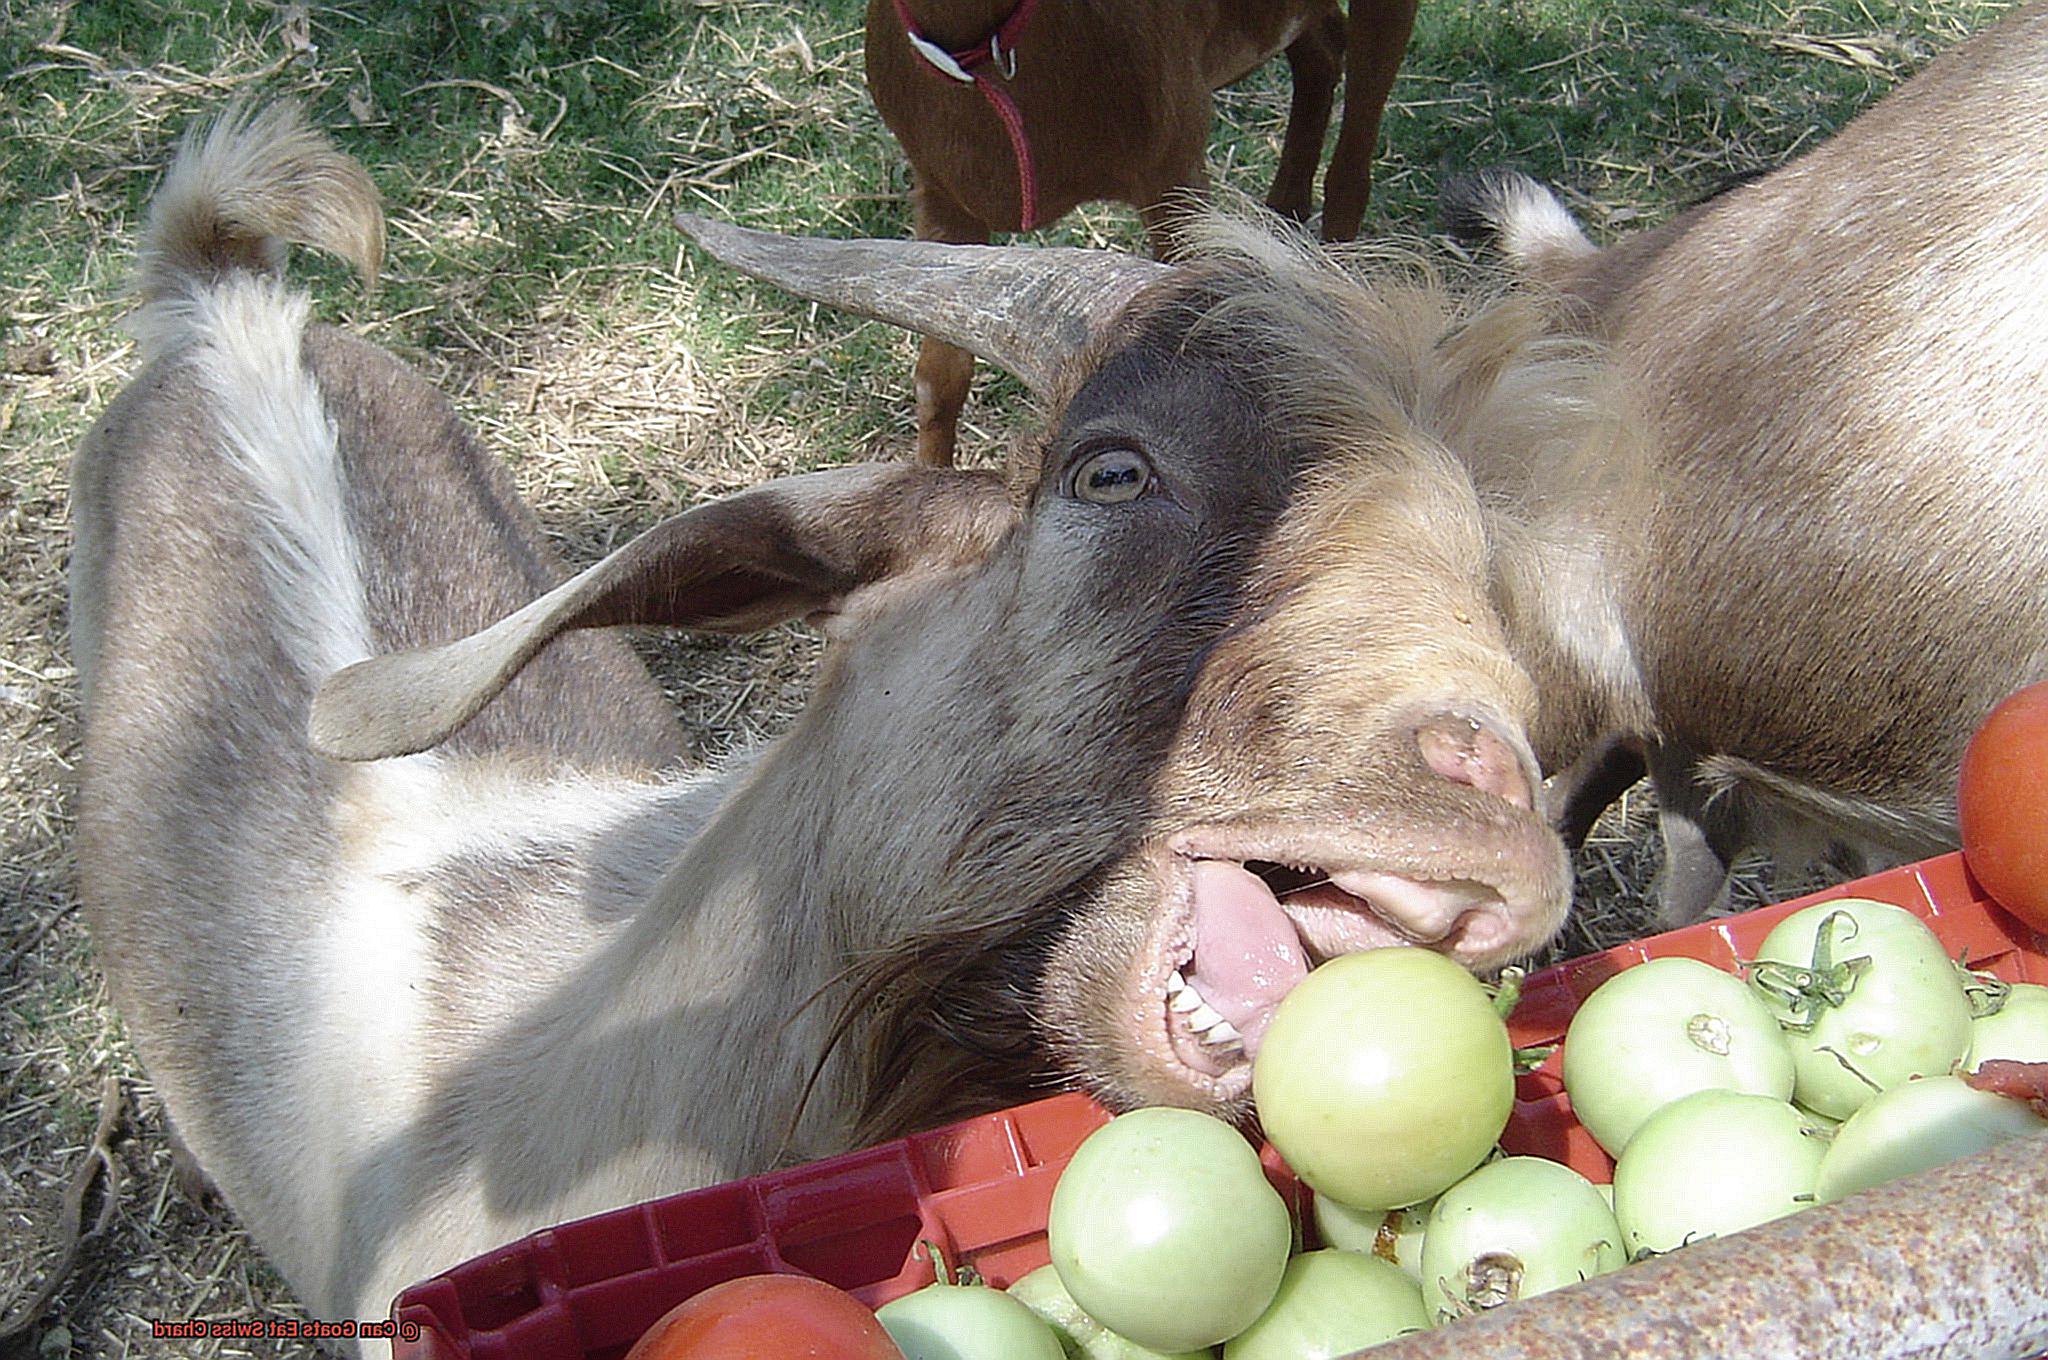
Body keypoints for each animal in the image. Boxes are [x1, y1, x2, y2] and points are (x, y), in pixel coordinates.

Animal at [856, 0, 1417, 464]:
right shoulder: (942, 195)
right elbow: (939, 379)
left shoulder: (1173, 173)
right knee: (1321, 44)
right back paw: (1281, 218)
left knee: (1354, 146)